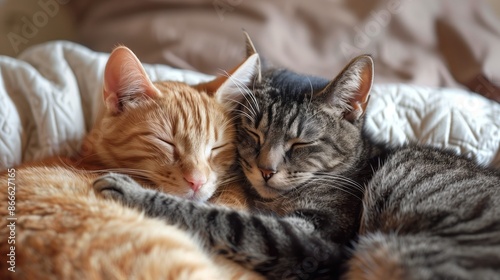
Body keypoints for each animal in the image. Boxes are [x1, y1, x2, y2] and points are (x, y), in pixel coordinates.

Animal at [91, 52, 500, 280]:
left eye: (300, 143)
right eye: (252, 134)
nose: (266, 169)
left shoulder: (313, 238)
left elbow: (221, 218)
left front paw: (130, 191)